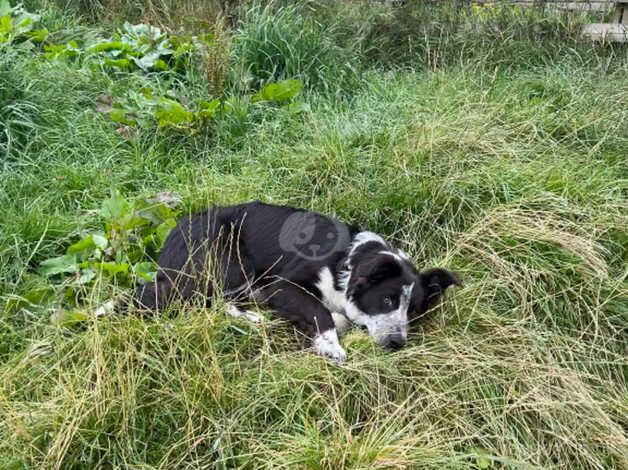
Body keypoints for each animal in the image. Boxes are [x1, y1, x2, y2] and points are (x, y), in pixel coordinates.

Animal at [134, 200, 462, 362]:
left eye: (414, 312)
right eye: (387, 300)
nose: (397, 343)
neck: (345, 264)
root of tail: (174, 231)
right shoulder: (281, 284)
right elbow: (321, 313)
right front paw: (331, 347)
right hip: (228, 261)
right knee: (210, 301)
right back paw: (255, 318)